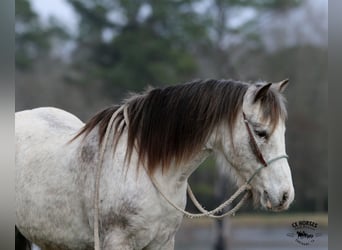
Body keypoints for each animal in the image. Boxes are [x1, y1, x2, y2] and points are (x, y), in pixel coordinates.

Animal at [15, 79, 294, 249]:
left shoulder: (162, 242)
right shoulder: (117, 242)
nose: (285, 195)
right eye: (260, 132)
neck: (147, 168)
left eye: (283, 131)